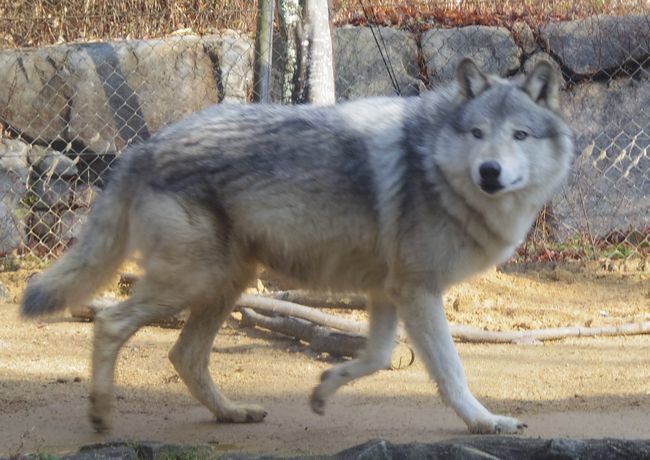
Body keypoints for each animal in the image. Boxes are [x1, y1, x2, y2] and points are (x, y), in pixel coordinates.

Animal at [20, 58, 568, 434]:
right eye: (477, 133)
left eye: (520, 135)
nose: (490, 172)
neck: (434, 166)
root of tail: (141, 148)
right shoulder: (418, 291)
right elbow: (451, 371)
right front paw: (486, 422)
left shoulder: (389, 291)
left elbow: (378, 357)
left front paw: (325, 390)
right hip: (194, 282)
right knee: (113, 323)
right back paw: (101, 417)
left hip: (226, 283)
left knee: (185, 356)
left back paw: (232, 413)